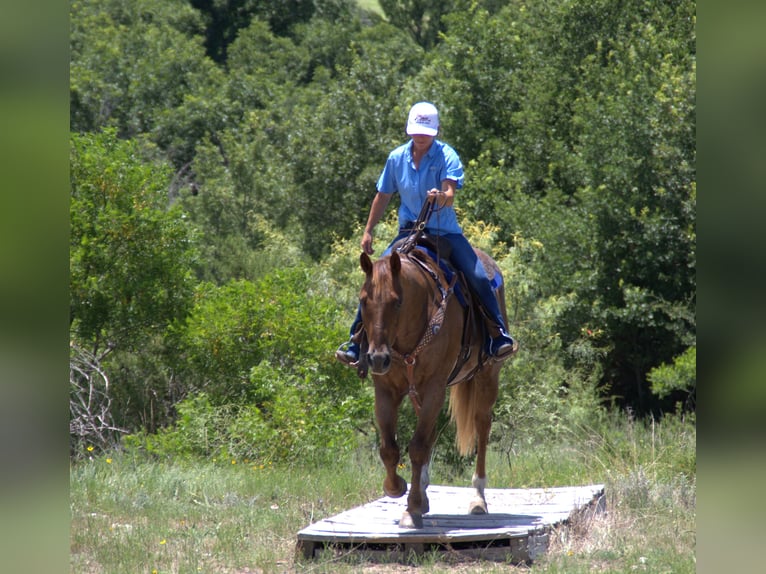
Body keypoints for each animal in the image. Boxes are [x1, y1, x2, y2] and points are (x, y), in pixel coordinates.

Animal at [356, 246, 512, 529]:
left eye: (397, 301)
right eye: (363, 301)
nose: (377, 358)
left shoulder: (434, 388)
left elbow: (417, 448)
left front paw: (412, 509)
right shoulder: (385, 390)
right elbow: (389, 449)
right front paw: (396, 488)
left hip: (487, 377)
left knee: (482, 427)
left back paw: (478, 498)